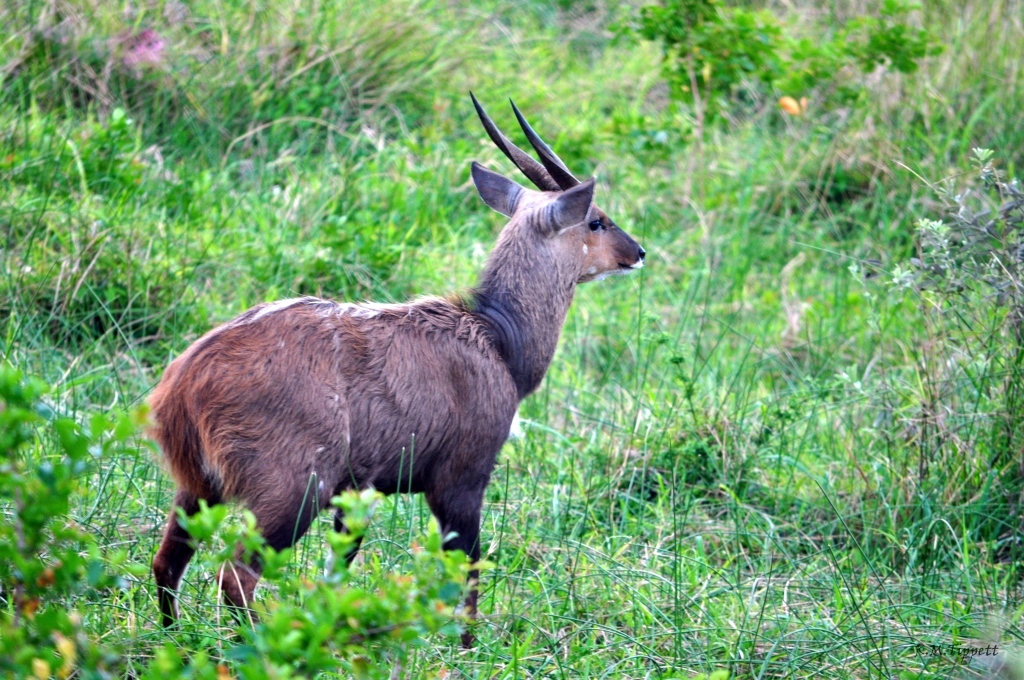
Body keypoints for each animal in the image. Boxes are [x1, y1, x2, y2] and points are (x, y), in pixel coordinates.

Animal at [149, 94, 647, 643]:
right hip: (291, 491)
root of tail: (181, 386)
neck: (497, 338)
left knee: (166, 562)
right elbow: (467, 569)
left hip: (199, 488)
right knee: (235, 576)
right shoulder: (460, 479)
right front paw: (467, 648)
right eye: (597, 220)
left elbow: (339, 571)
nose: (638, 252)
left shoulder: (358, 493)